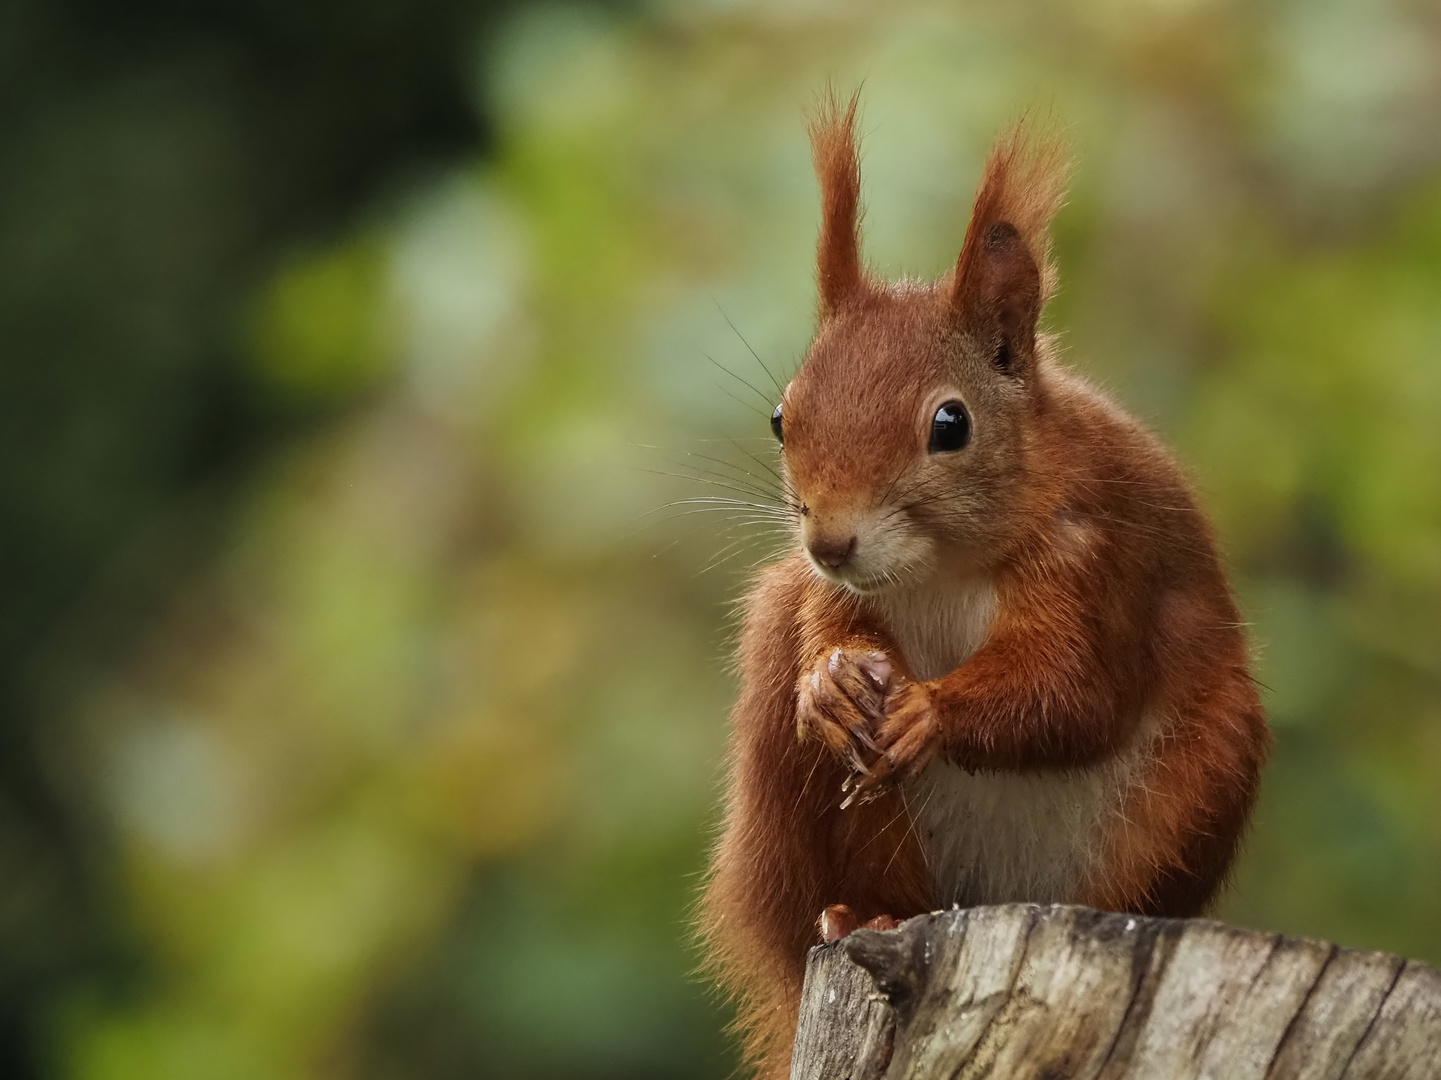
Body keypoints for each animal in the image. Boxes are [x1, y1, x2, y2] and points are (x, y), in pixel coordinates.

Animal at [697, 94, 1273, 1078]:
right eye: (781, 416)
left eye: (949, 425)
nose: (829, 540)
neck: (939, 569)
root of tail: (988, 896)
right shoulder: (828, 595)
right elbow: (830, 641)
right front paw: (830, 688)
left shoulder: (1094, 557)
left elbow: (1073, 694)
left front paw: (928, 713)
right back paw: (858, 912)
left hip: (1197, 780)